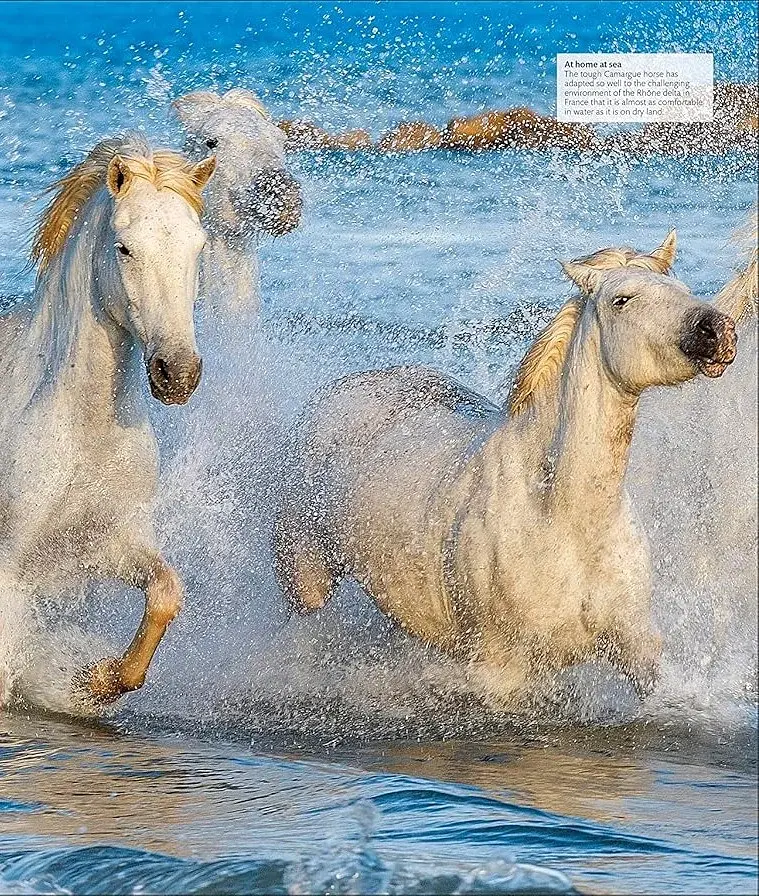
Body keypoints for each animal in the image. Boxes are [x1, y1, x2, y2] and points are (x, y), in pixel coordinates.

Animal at [0, 135, 216, 708]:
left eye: (198, 248)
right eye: (125, 248)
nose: (177, 374)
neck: (84, 431)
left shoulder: (107, 544)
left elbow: (166, 593)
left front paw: (95, 679)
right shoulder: (9, 568)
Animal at [273, 232, 740, 707]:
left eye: (682, 289)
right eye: (621, 300)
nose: (716, 330)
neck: (564, 515)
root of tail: (336, 392)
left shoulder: (638, 648)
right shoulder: (501, 672)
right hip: (305, 578)